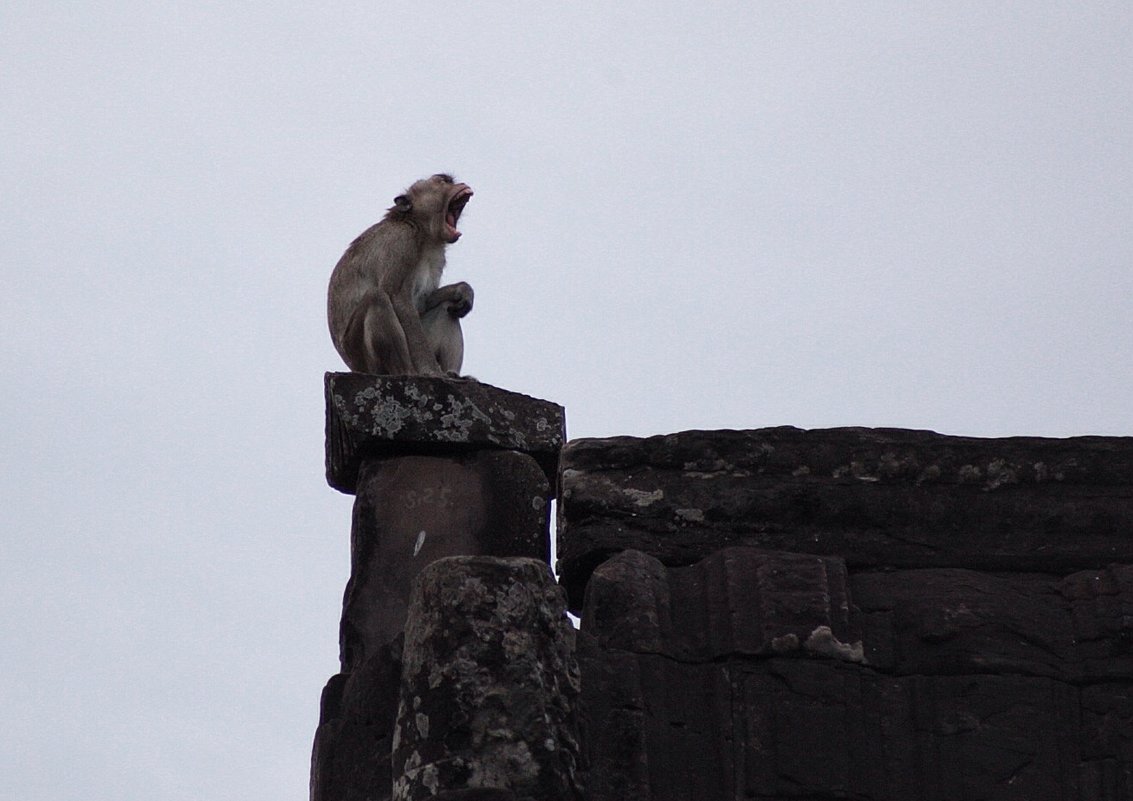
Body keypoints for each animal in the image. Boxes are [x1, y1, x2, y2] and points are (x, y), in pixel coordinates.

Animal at [328, 175, 473, 376]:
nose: (461, 185)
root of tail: (353, 366)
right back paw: (406, 371)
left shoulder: (437, 258)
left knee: (447, 309)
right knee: (377, 298)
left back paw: (452, 374)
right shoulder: (402, 242)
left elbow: (423, 302)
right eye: (442, 181)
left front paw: (463, 290)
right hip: (361, 355)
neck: (422, 232)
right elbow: (399, 299)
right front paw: (430, 370)